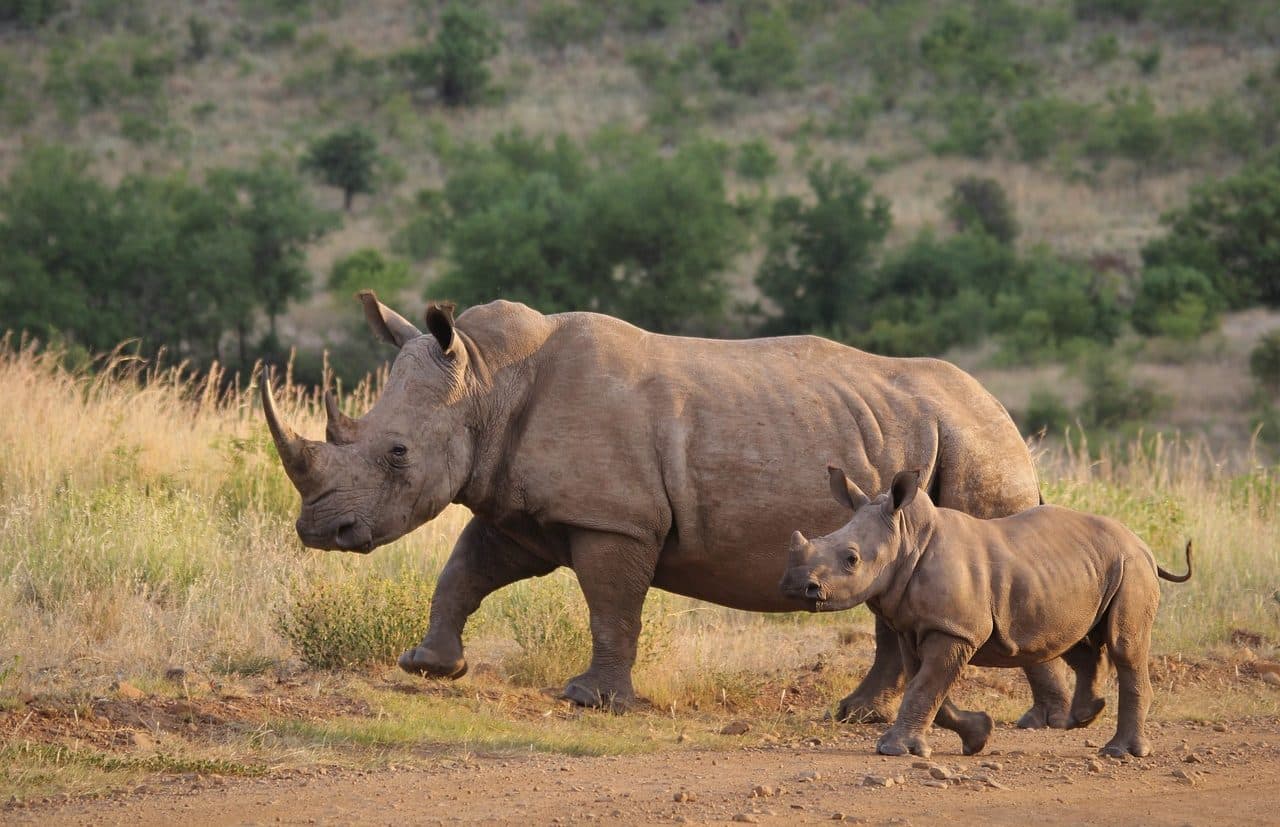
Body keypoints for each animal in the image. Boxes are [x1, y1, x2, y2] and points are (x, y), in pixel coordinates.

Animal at [778, 465, 1198, 757]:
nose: (796, 586)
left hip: (1132, 567)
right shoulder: (917, 627)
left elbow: (925, 686)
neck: (907, 537)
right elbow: (926, 687)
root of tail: (1142, 544)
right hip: (1089, 568)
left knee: (1124, 646)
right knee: (1078, 640)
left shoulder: (954, 629)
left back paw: (1119, 752)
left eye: (851, 559)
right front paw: (978, 736)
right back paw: (1084, 716)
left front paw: (893, 749)